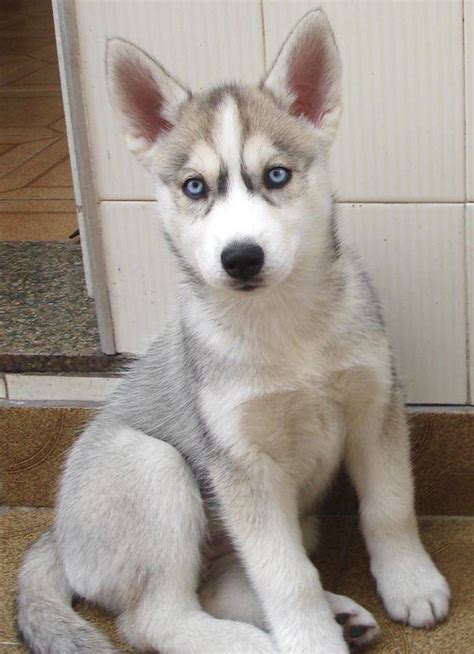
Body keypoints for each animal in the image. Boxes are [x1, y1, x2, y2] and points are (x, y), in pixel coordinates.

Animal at [16, 11, 450, 654]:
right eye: (195, 187)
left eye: (276, 175)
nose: (241, 257)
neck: (286, 329)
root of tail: (55, 534)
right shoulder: (244, 467)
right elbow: (287, 577)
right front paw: (311, 642)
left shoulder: (375, 409)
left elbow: (390, 507)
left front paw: (410, 583)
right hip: (152, 466)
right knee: (157, 618)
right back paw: (260, 642)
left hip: (283, 520)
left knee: (220, 585)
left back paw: (341, 614)